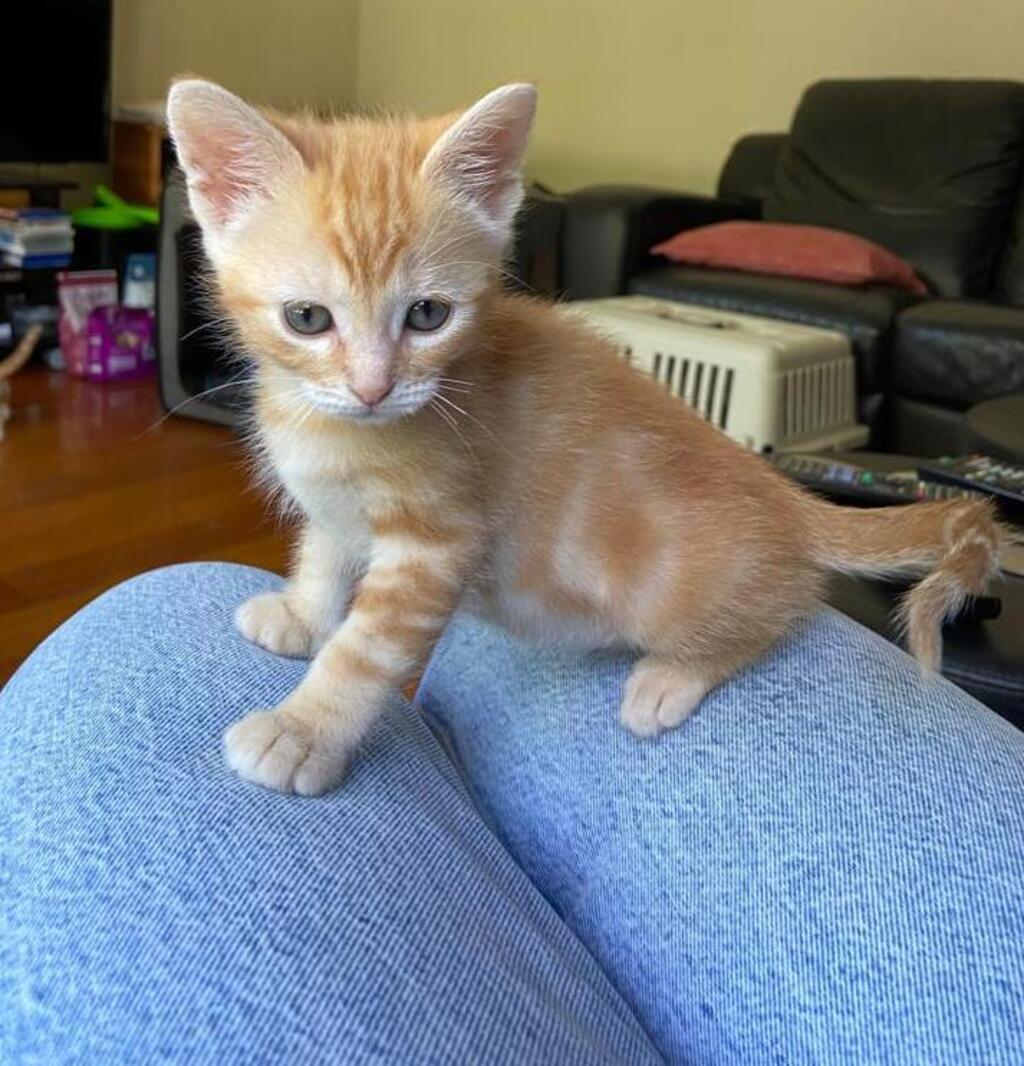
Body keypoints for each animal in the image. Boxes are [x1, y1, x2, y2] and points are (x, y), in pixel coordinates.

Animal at [167, 79, 1012, 795]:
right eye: (307, 318)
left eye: (428, 316)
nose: (373, 389)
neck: (328, 427)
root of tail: (784, 495)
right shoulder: (336, 510)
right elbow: (323, 555)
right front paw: (302, 614)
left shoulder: (436, 540)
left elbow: (367, 647)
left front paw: (303, 732)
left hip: (683, 592)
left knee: (783, 608)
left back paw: (673, 676)